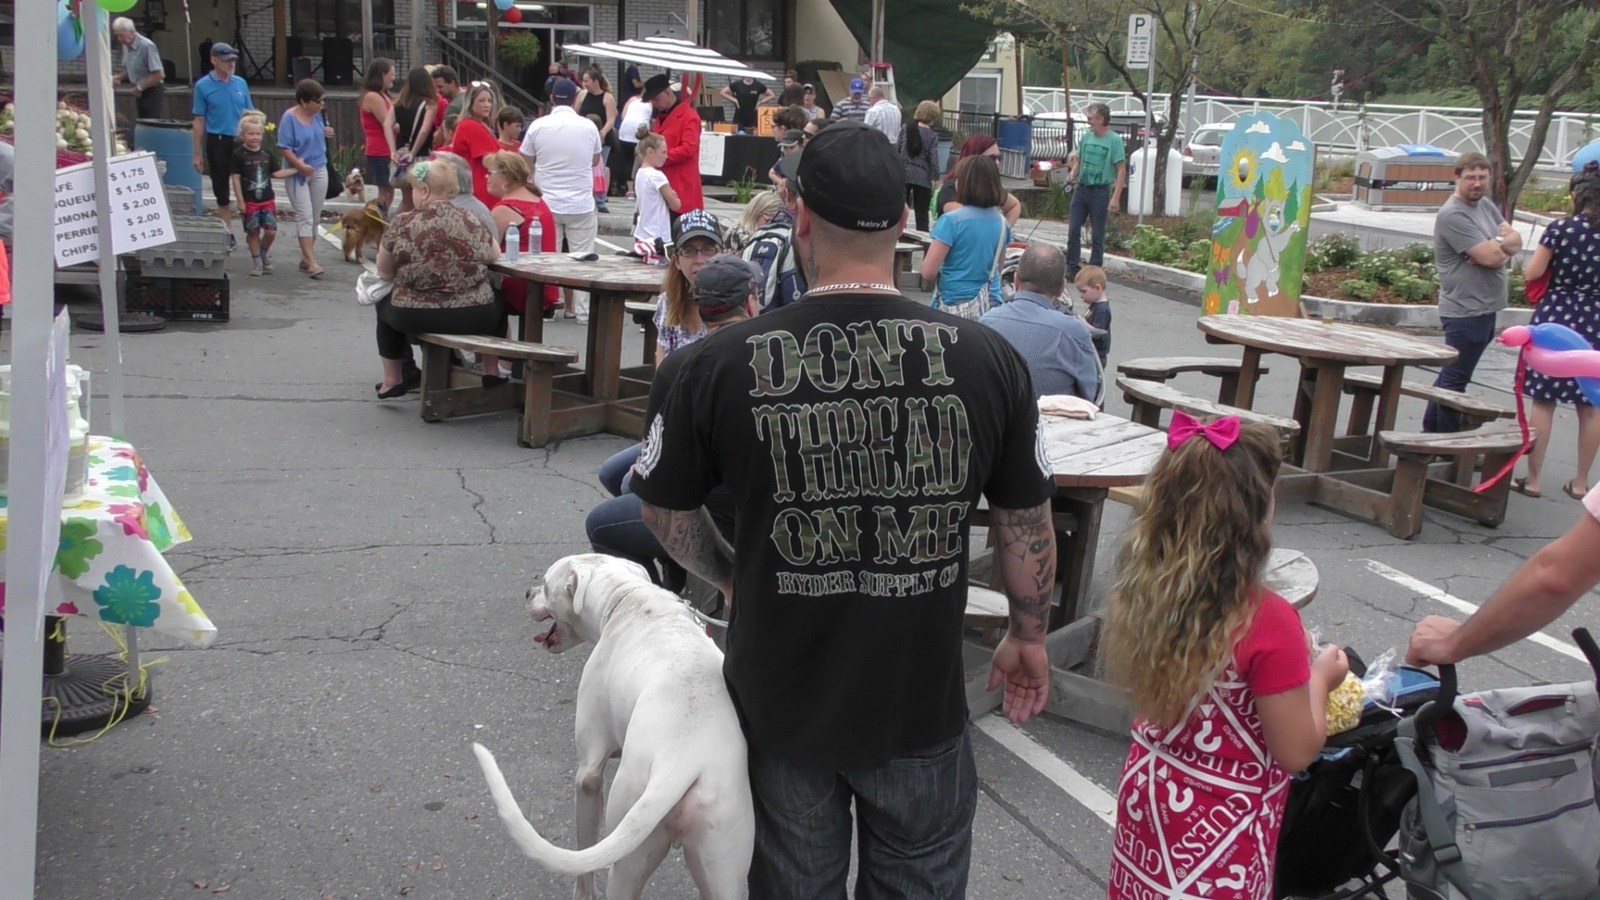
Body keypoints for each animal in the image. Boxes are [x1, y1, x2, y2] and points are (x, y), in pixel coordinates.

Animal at [472, 554, 752, 899]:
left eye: (547, 586)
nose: (527, 592)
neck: (626, 596)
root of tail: (680, 764)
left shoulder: (589, 774)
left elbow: (584, 851)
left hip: (627, 843)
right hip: (724, 863)